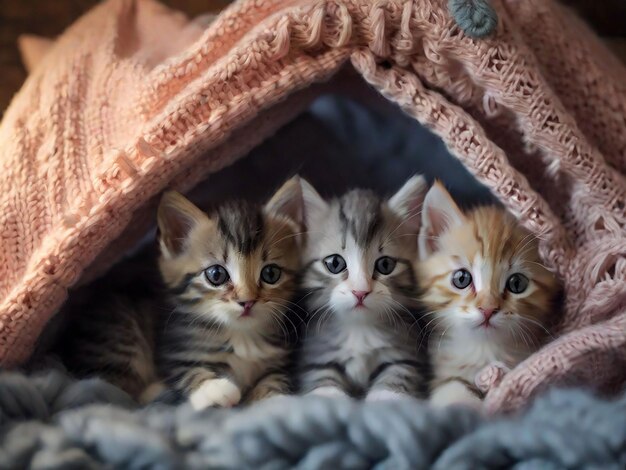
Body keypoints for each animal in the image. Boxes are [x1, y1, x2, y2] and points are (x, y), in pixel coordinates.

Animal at [294, 176, 426, 400]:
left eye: (385, 265)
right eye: (335, 263)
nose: (361, 291)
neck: (359, 330)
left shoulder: (406, 356)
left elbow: (398, 375)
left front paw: (386, 398)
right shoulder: (314, 357)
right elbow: (322, 380)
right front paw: (329, 396)